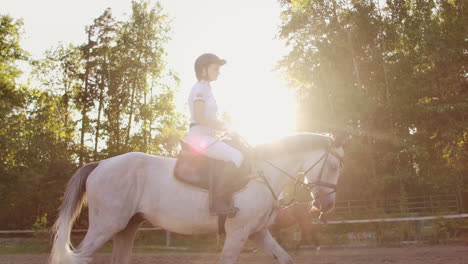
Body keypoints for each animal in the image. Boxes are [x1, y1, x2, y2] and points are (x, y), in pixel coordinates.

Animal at [50, 133, 344, 264]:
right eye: (333, 166)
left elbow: (285, 258)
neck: (263, 174)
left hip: (127, 227)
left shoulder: (257, 231)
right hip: (106, 226)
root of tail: (100, 164)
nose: (328, 205)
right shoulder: (238, 233)